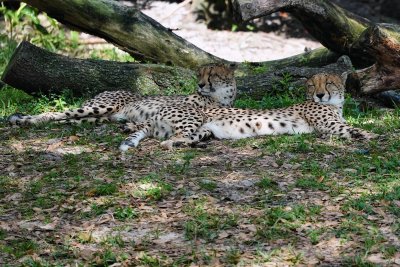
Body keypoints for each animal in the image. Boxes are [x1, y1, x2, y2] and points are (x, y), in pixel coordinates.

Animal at [7, 64, 238, 127]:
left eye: (212, 75)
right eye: (200, 74)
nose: (200, 84)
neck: (220, 96)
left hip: (100, 116)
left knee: (67, 118)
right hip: (101, 106)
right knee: (58, 113)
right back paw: (25, 119)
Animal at [119, 73, 378, 151]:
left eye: (329, 83)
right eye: (313, 85)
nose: (321, 95)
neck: (335, 105)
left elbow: (352, 128)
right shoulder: (331, 125)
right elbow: (355, 128)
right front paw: (375, 135)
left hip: (202, 130)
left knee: (176, 139)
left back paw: (196, 144)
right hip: (194, 117)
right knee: (167, 142)